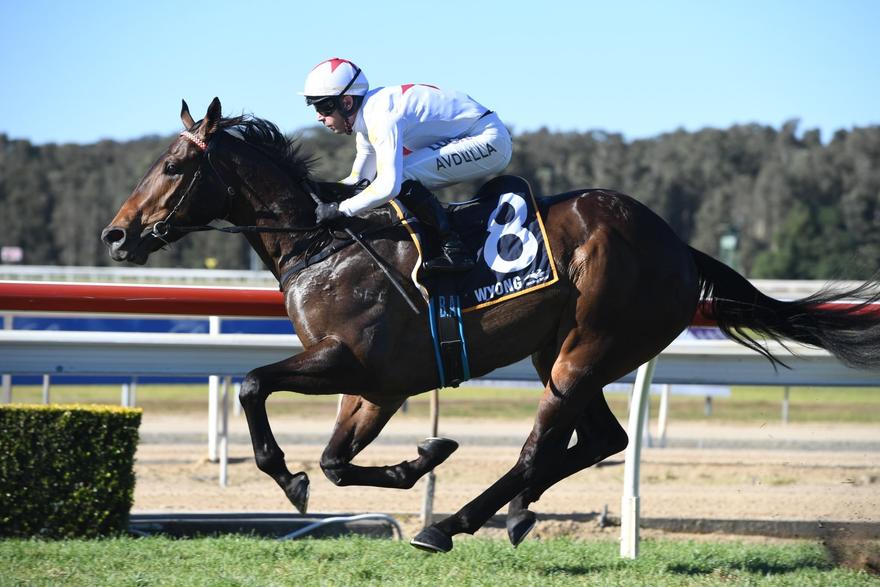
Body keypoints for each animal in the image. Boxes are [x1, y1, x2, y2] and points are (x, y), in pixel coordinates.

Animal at [102, 98, 880, 552]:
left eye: (174, 164)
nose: (116, 235)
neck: (320, 245)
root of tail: (680, 247)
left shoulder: (350, 362)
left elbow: (252, 384)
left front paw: (290, 477)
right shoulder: (378, 388)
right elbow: (335, 461)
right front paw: (421, 456)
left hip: (585, 349)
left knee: (542, 448)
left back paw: (450, 525)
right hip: (562, 355)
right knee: (602, 438)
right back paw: (511, 513)